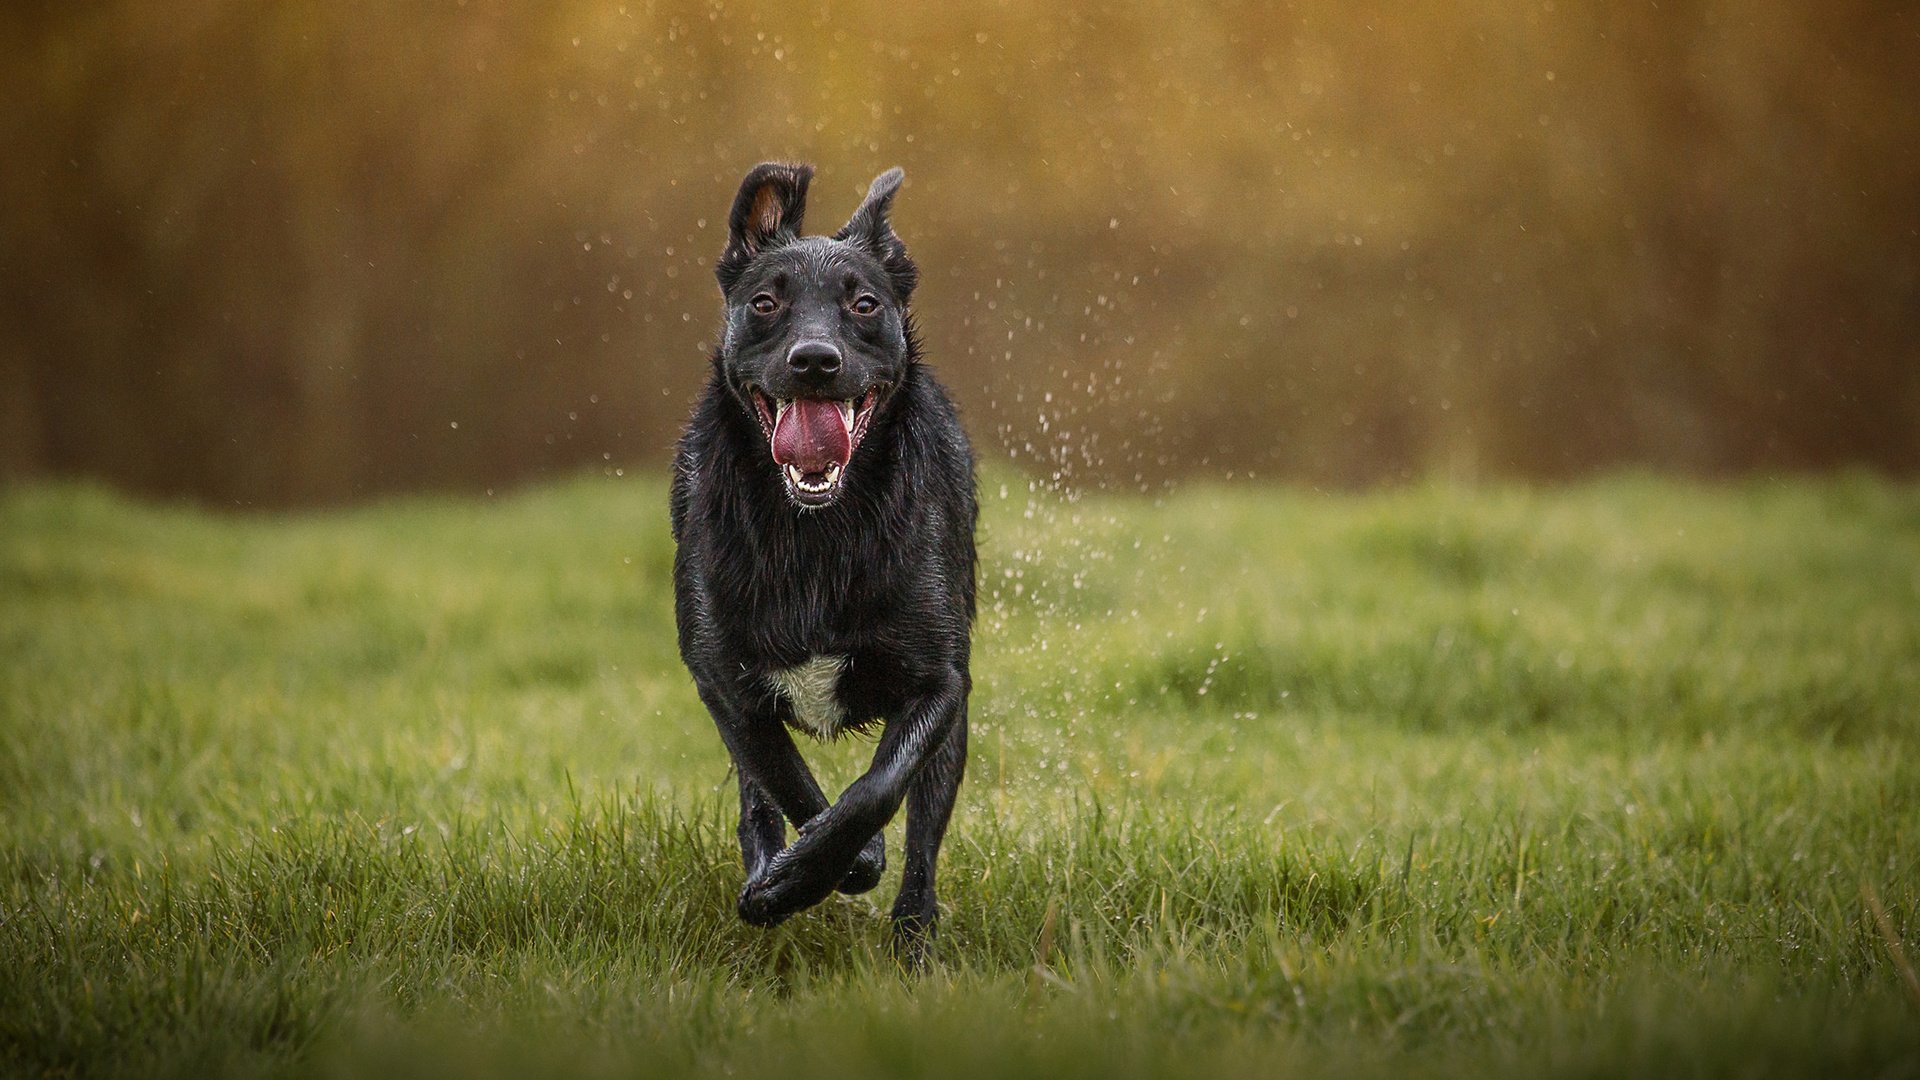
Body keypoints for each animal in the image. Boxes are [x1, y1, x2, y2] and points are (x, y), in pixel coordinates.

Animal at [672, 159, 975, 949]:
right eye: (765, 302)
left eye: (864, 304)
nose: (813, 360)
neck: (815, 532)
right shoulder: (723, 680)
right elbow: (788, 782)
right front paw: (790, 880)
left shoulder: (939, 684)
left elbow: (875, 791)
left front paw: (831, 867)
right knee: (759, 795)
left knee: (923, 837)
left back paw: (912, 938)